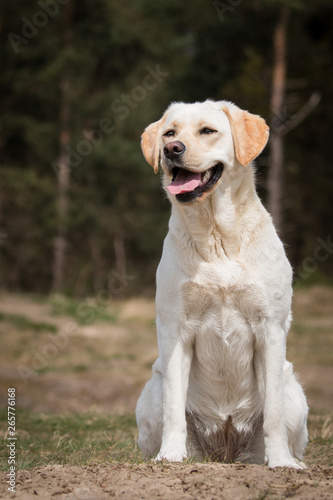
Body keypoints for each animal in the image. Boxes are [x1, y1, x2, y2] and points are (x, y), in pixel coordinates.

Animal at [134, 99, 306, 466]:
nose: (172, 149)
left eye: (207, 131)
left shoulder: (270, 326)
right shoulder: (175, 327)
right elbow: (174, 407)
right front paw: (171, 455)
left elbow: (272, 412)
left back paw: (290, 459)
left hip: (293, 393)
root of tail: (225, 448)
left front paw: (281, 461)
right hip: (152, 391)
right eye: (169, 132)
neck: (217, 238)